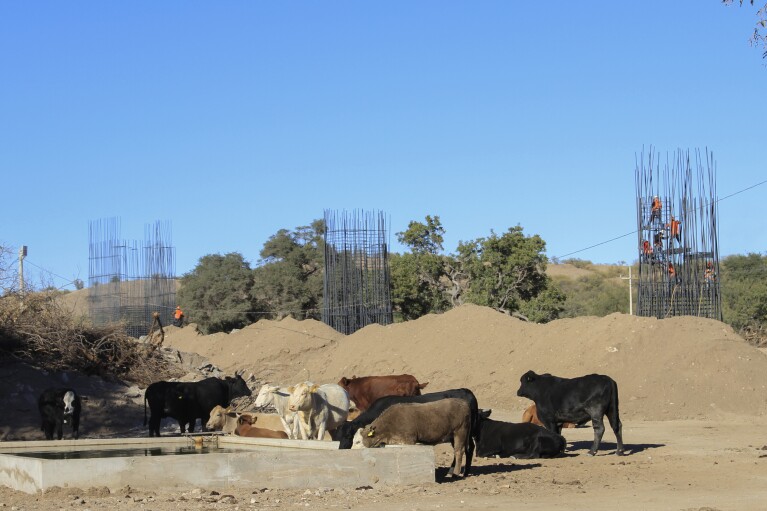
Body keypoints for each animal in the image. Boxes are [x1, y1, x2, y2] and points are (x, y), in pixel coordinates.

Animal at [336, 390, 480, 478]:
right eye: (338, 435)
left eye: (348, 436)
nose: (341, 449)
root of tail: (467, 392)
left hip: (463, 431)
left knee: (465, 449)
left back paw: (460, 472)